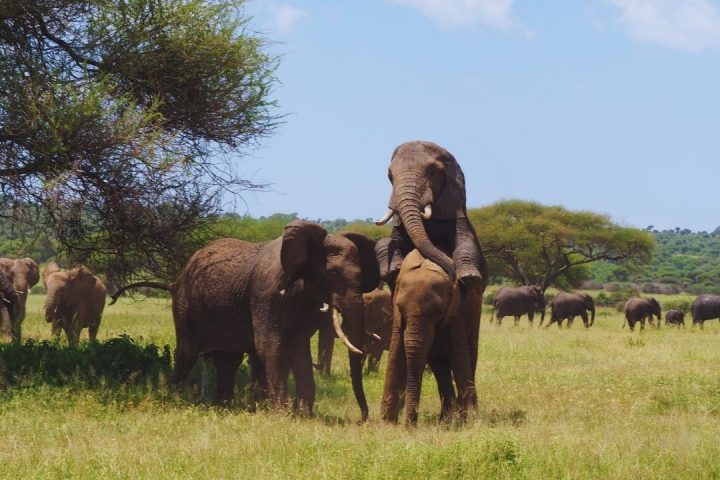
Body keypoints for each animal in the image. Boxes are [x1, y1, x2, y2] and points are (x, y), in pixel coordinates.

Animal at [110, 222, 380, 421]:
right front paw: (283, 415)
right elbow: (270, 346)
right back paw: (173, 399)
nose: (362, 419)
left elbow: (298, 349)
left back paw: (223, 406)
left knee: (228, 360)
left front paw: (305, 415)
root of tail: (176, 281)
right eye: (331, 274)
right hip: (185, 305)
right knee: (187, 353)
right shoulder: (267, 292)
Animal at [375, 141, 486, 289]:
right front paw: (392, 270)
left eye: (433, 172)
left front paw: (469, 277)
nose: (452, 277)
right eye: (390, 176)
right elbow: (389, 240)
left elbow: (466, 239)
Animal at [381, 250, 482, 426]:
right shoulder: (397, 318)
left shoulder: (456, 312)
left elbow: (459, 356)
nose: (411, 425)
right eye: (400, 308)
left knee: (469, 354)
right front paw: (387, 424)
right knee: (439, 366)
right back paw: (446, 420)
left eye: (439, 312)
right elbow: (396, 354)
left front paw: (468, 421)